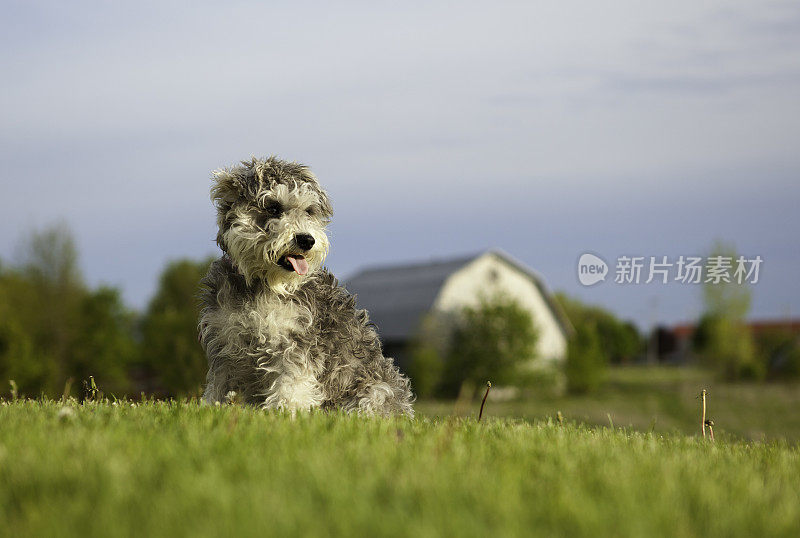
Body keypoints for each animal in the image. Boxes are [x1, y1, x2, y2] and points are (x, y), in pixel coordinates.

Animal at [199, 155, 416, 414]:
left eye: (309, 211)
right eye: (273, 207)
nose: (306, 240)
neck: (262, 285)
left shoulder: (295, 342)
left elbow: (292, 383)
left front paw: (286, 411)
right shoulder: (225, 345)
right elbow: (218, 386)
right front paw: (210, 409)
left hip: (375, 393)